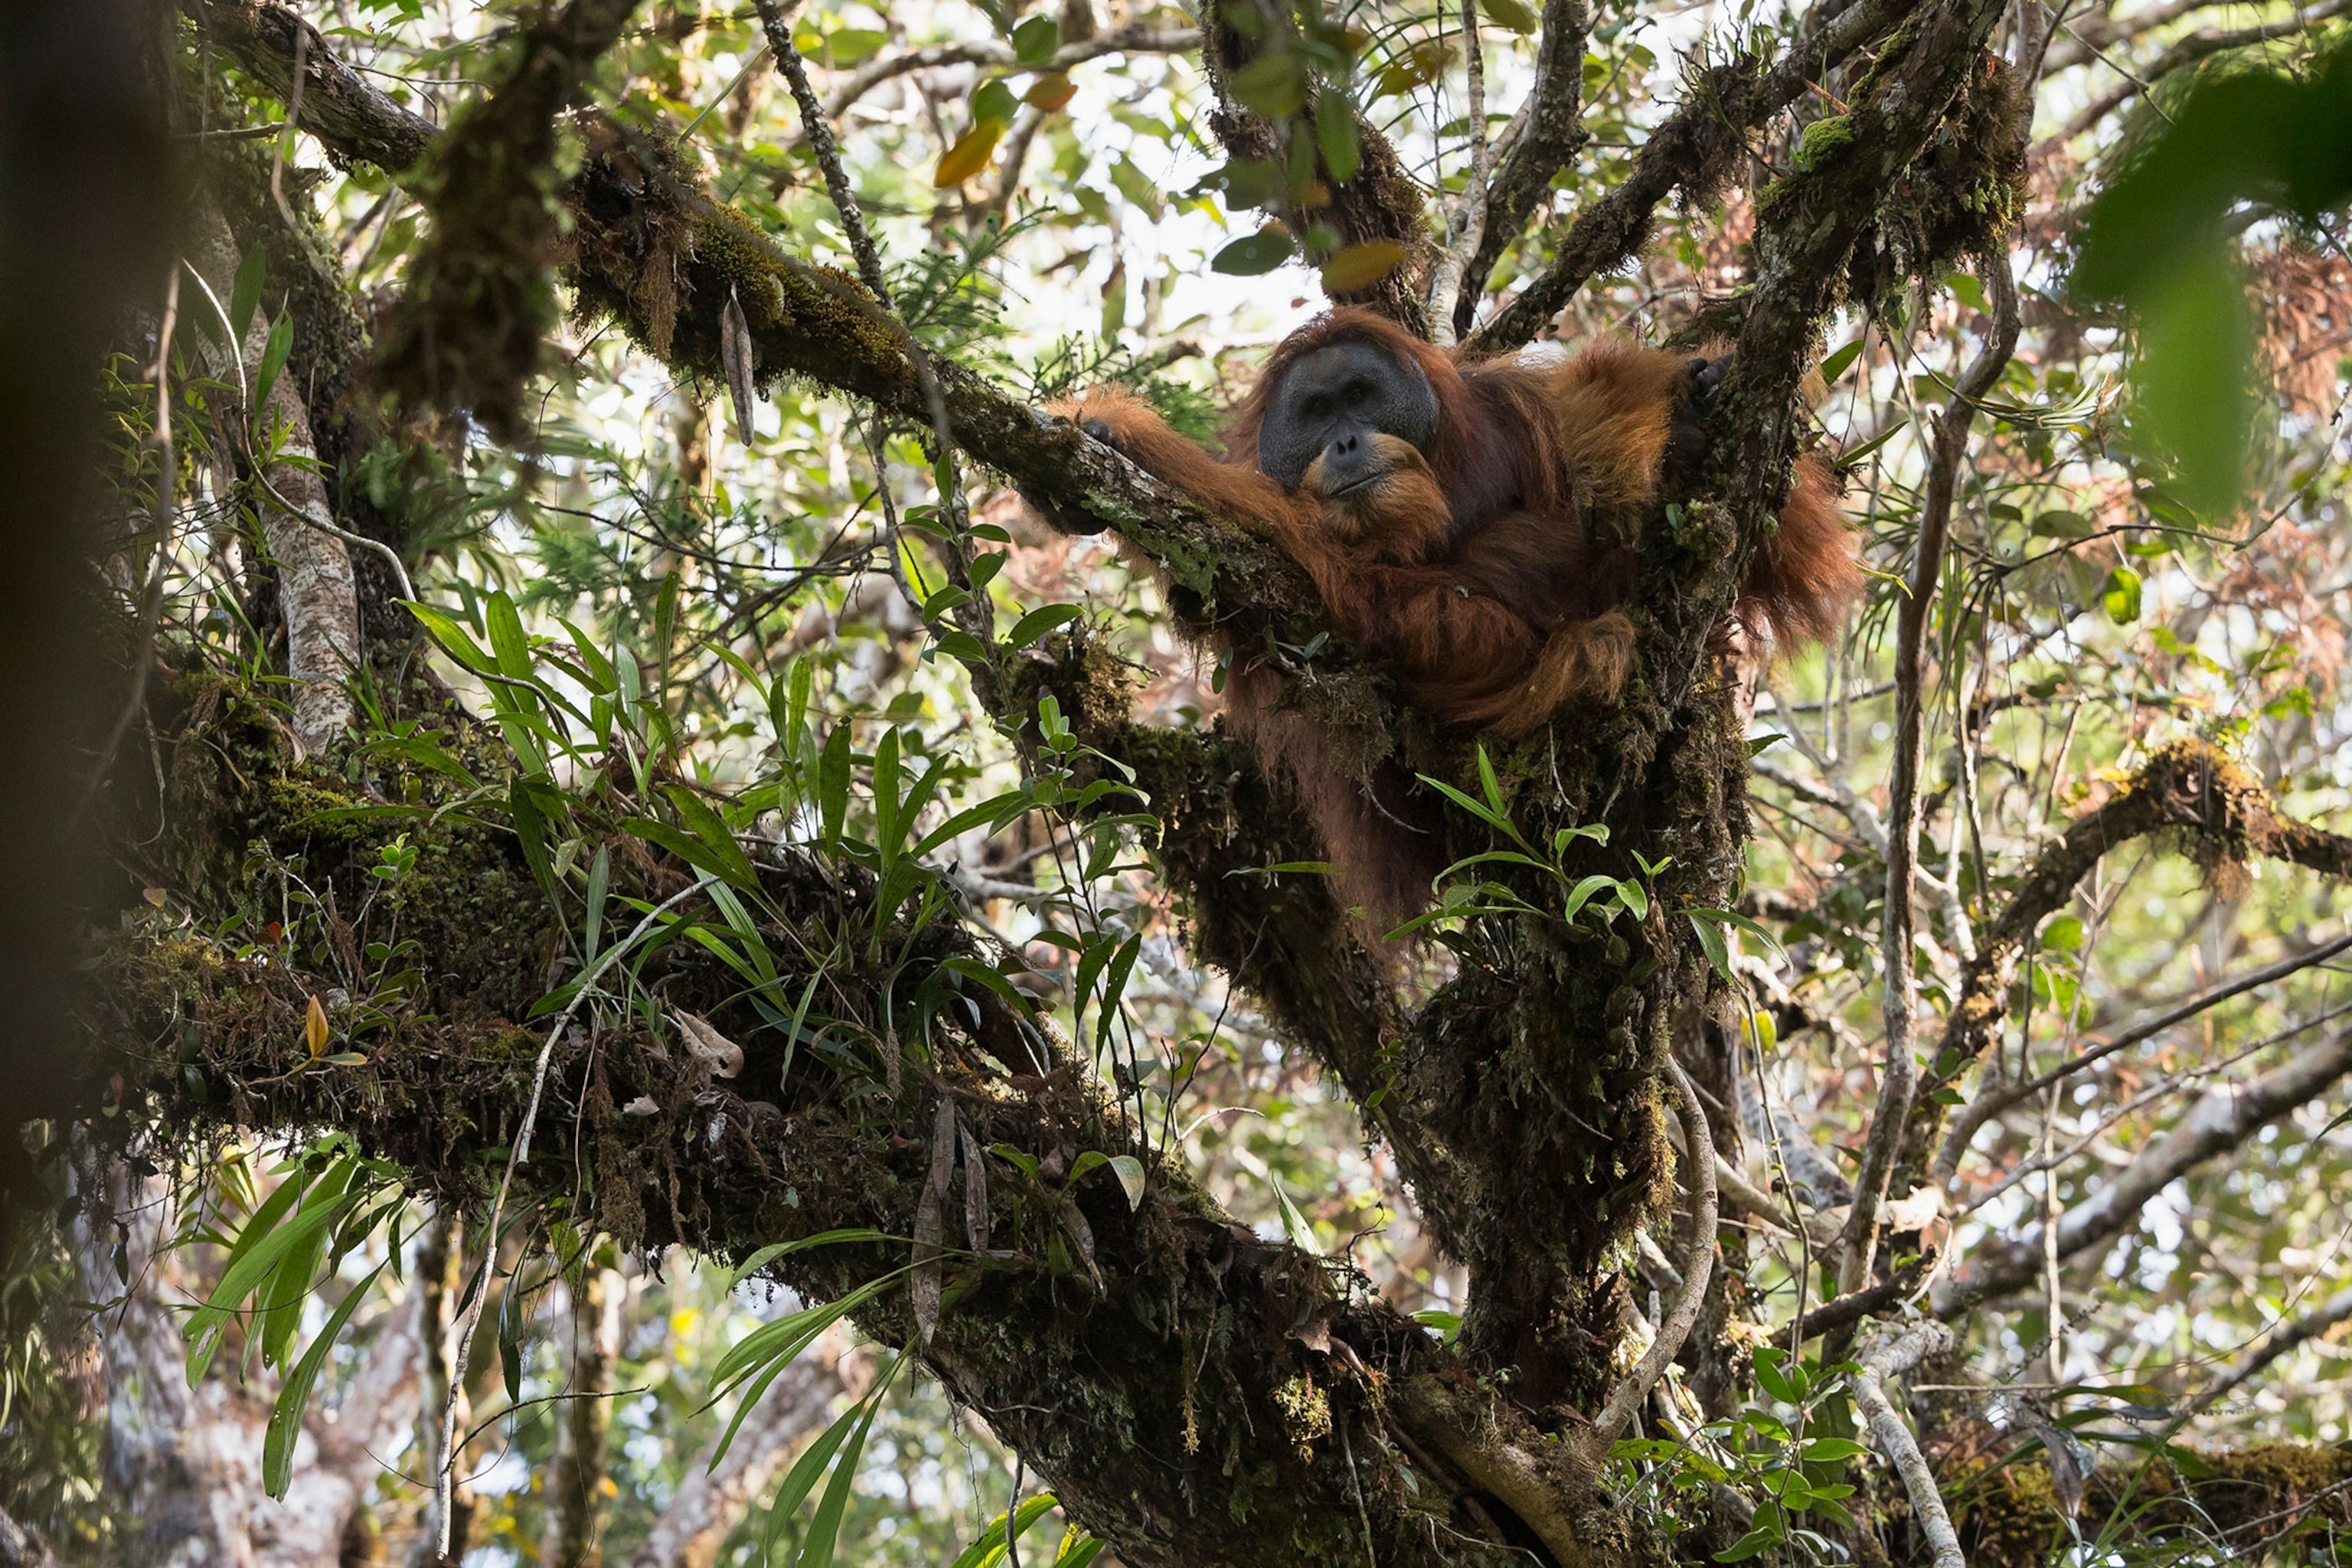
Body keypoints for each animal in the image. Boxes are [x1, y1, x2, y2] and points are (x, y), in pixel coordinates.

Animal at [1049, 309, 1860, 917]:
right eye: (1316, 413)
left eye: (1361, 396)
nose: (1346, 439)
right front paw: (1111, 441)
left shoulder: (1520, 406)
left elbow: (1782, 544)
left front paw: (1696, 405)